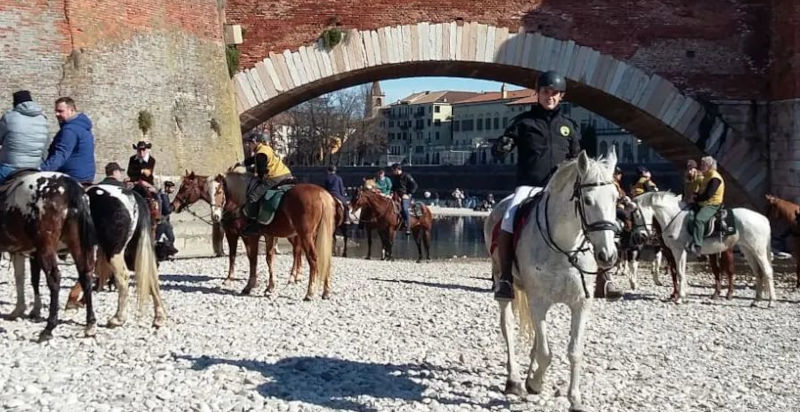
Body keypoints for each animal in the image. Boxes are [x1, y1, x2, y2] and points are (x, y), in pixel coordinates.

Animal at [0, 171, 97, 342]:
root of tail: (69, 185)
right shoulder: (24, 252)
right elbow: (25, 279)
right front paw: (24, 310)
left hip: (47, 248)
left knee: (54, 279)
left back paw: (48, 328)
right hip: (76, 244)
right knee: (85, 276)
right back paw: (90, 325)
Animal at [64, 185, 166, 328]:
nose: (158, 219)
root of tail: (132, 196)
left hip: (113, 251)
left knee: (123, 277)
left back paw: (118, 318)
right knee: (150, 275)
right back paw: (159, 317)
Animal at [215, 171, 335, 300]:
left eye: (219, 192)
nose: (216, 215)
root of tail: (321, 194)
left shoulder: (249, 236)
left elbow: (252, 259)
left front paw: (249, 285)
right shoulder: (268, 235)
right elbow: (269, 258)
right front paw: (270, 287)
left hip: (305, 236)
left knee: (312, 258)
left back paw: (310, 292)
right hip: (315, 235)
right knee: (324, 258)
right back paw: (326, 291)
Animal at [483, 150, 619, 412]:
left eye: (616, 199)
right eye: (588, 200)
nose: (607, 255)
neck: (564, 248)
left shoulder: (580, 304)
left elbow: (574, 351)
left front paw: (574, 398)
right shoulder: (538, 301)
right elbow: (546, 353)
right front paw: (534, 384)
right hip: (504, 283)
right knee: (508, 326)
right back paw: (515, 380)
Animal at [632, 192, 775, 307]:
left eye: (637, 215)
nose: (641, 236)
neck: (674, 218)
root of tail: (763, 218)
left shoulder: (678, 251)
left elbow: (680, 272)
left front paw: (679, 298)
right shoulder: (677, 252)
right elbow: (679, 272)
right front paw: (681, 296)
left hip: (758, 251)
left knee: (767, 271)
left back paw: (771, 301)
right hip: (748, 250)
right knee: (758, 272)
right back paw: (756, 300)